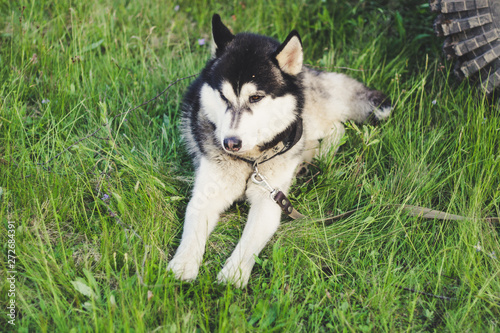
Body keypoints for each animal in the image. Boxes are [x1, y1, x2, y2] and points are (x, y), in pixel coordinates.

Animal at [168, 14, 390, 286]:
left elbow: (248, 243)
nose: (230, 143)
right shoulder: (207, 193)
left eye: (255, 98)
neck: (251, 161)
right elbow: (193, 229)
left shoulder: (269, 200)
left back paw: (314, 159)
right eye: (223, 96)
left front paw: (233, 275)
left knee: (336, 128)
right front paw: (182, 266)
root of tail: (308, 72)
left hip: (306, 118)